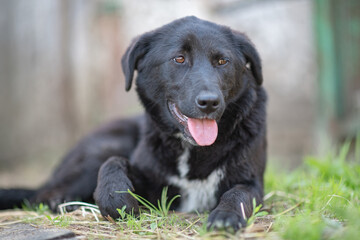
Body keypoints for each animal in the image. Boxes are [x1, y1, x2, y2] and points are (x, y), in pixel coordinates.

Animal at [0, 16, 266, 231]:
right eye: (179, 59)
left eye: (222, 61)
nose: (209, 102)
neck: (192, 150)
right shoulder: (150, 183)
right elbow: (114, 162)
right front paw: (114, 197)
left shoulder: (251, 182)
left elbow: (237, 193)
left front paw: (226, 215)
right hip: (106, 145)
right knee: (41, 195)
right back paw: (64, 201)